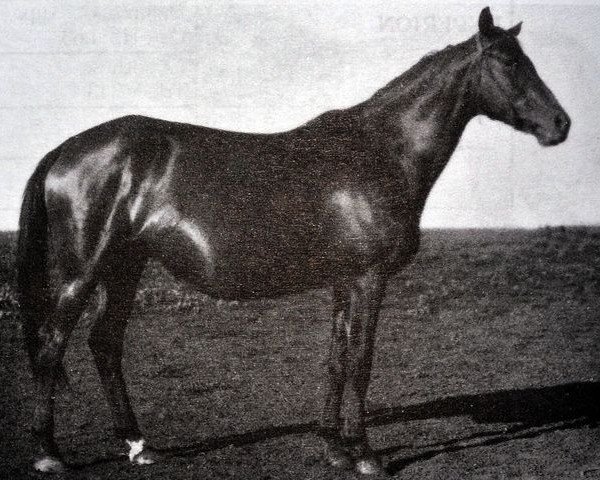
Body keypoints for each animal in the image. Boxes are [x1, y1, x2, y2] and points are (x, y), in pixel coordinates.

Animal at [15, 7, 568, 476]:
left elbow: (336, 359)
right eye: (509, 62)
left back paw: (138, 445)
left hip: (124, 267)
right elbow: (361, 361)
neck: (378, 152)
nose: (561, 124)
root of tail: (66, 148)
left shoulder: (345, 282)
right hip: (83, 271)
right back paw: (49, 455)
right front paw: (365, 455)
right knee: (53, 343)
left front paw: (333, 448)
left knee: (104, 342)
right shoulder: (368, 279)